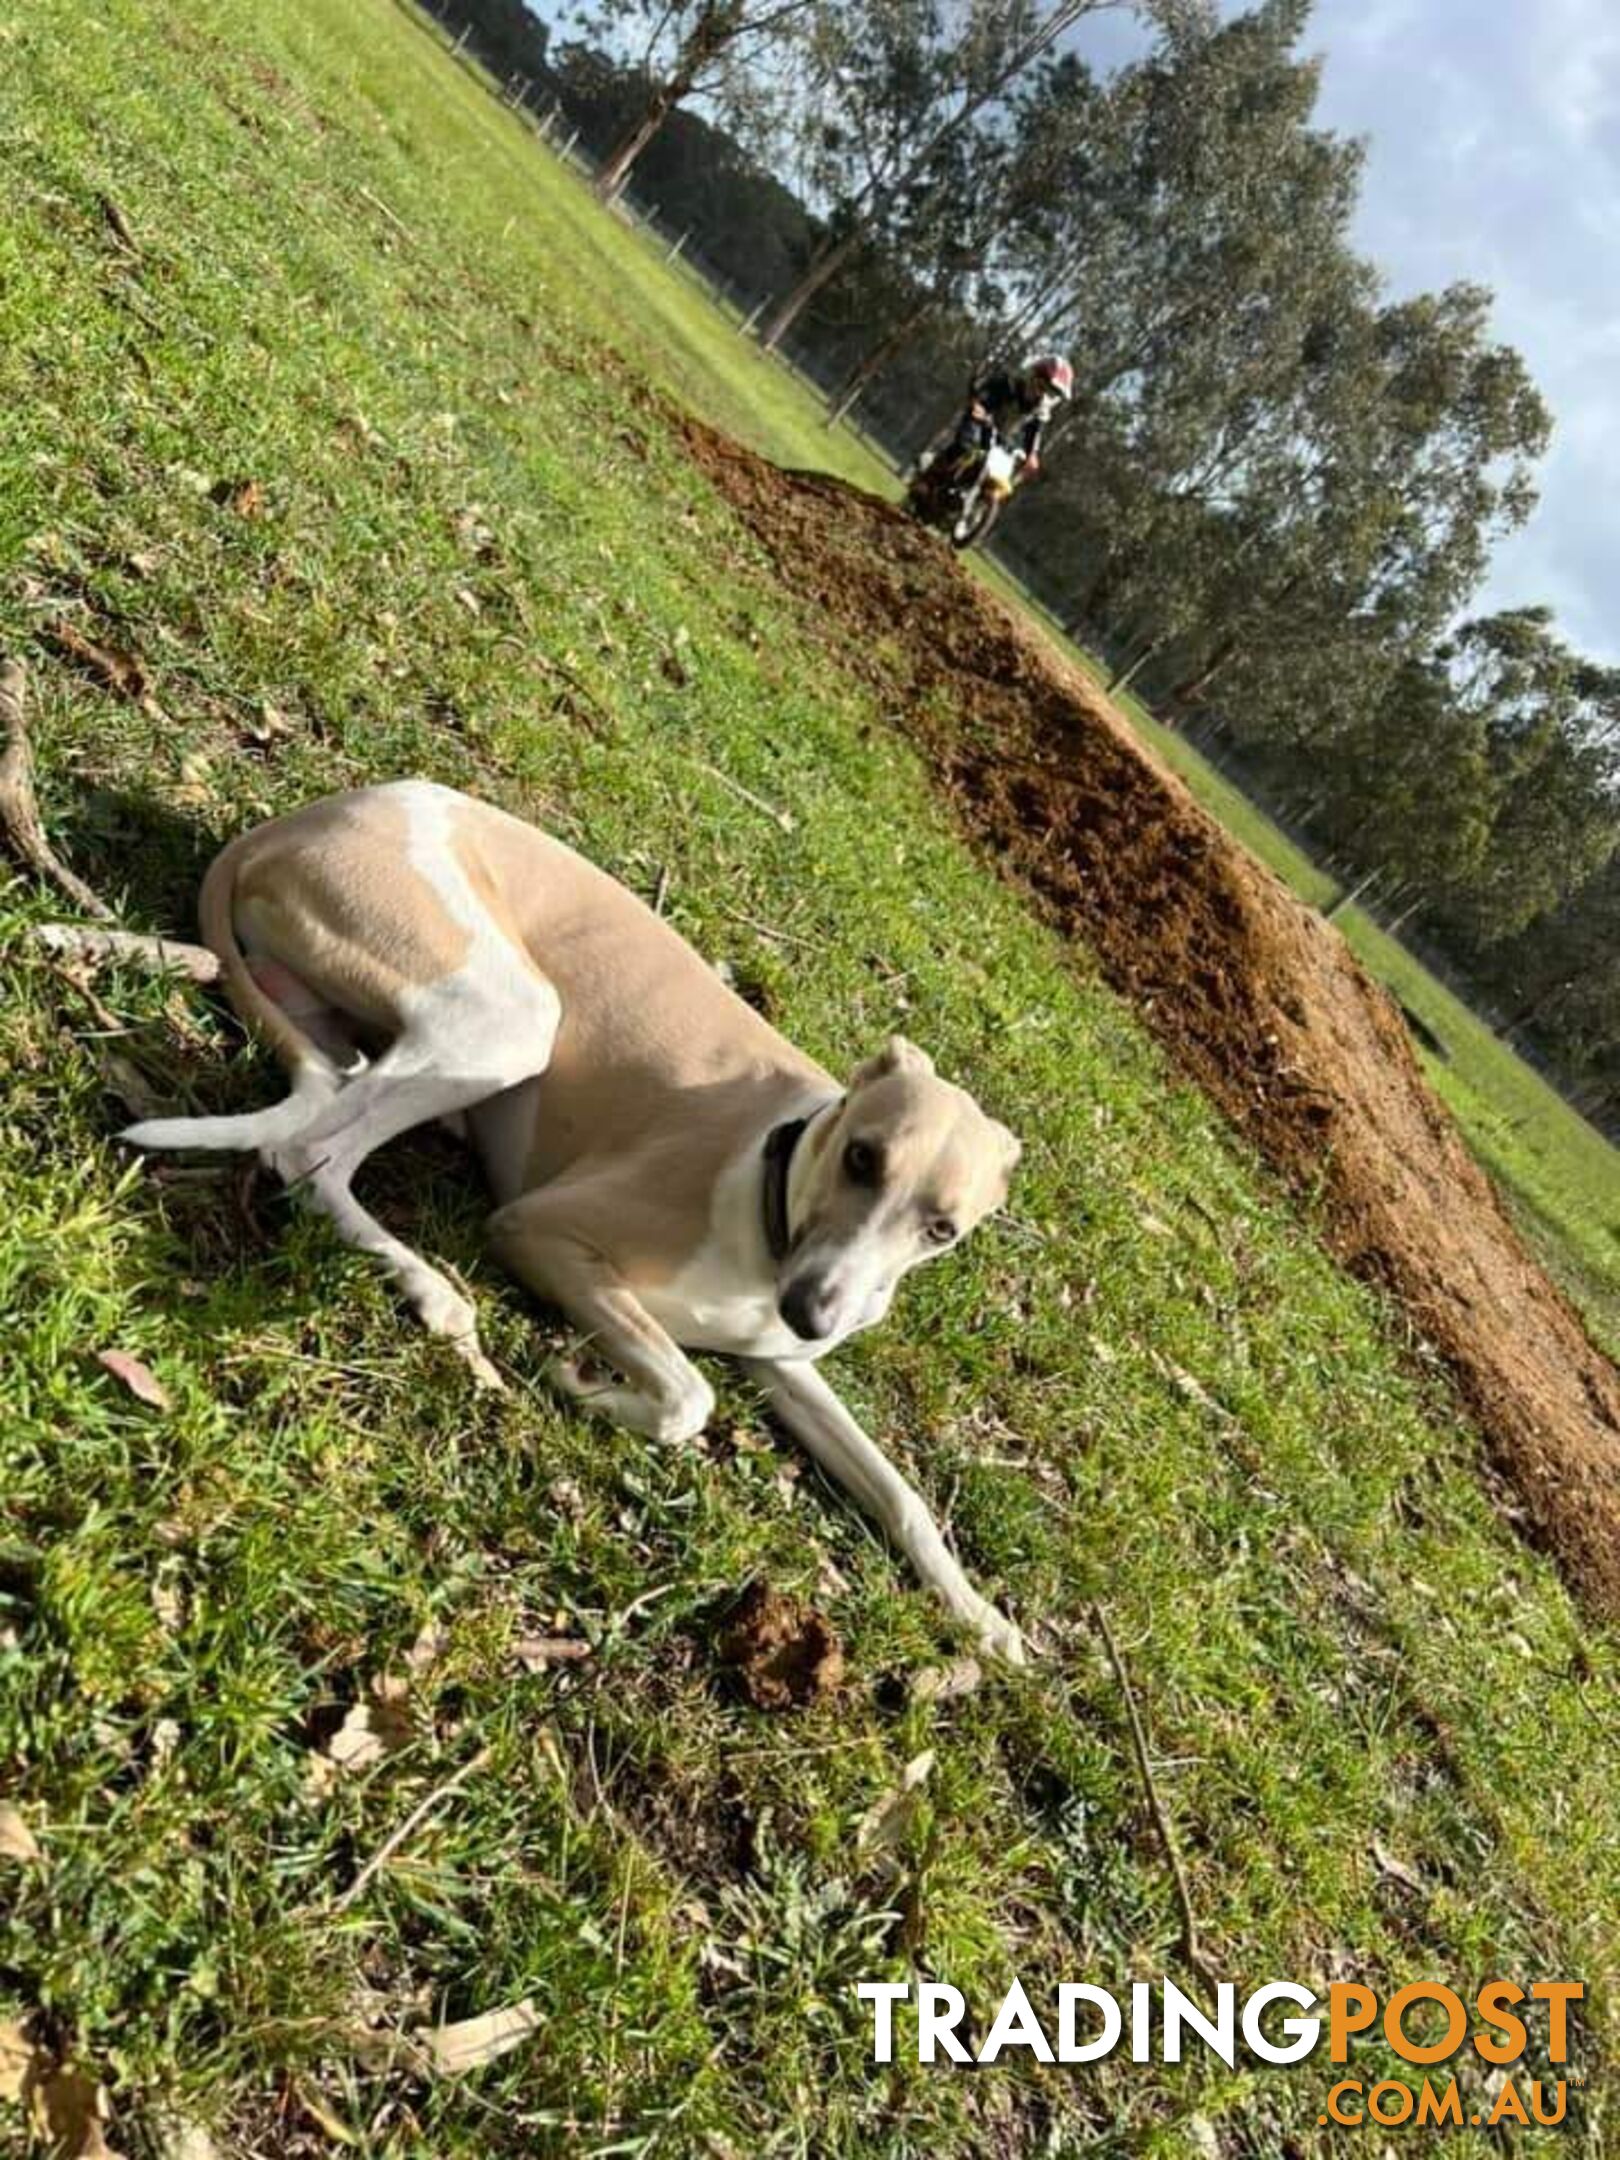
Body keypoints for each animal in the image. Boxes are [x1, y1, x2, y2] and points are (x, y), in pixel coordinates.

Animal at [120, 786, 1028, 1658]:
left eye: (942, 1230)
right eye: (863, 1158)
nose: (815, 1314)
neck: (777, 1179)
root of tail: (300, 820)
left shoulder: (782, 1364)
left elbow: (903, 1495)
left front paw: (983, 1618)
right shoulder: (542, 1231)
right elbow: (691, 1397)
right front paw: (583, 1383)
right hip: (510, 1017)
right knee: (307, 1153)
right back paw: (429, 1287)